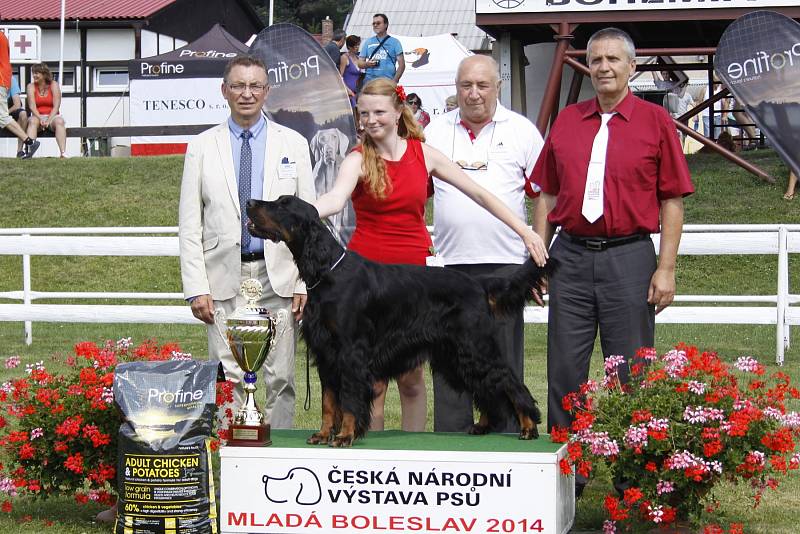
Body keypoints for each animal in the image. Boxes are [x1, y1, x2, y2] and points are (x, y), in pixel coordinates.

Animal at [247, 197, 552, 448]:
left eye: (282, 204)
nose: (250, 202)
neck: (327, 273)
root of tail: (479, 283)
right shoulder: (326, 354)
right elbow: (328, 402)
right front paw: (323, 434)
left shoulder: (350, 353)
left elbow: (349, 399)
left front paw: (345, 435)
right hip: (456, 356)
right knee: (485, 386)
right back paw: (484, 425)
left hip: (474, 347)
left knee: (509, 381)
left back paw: (528, 426)